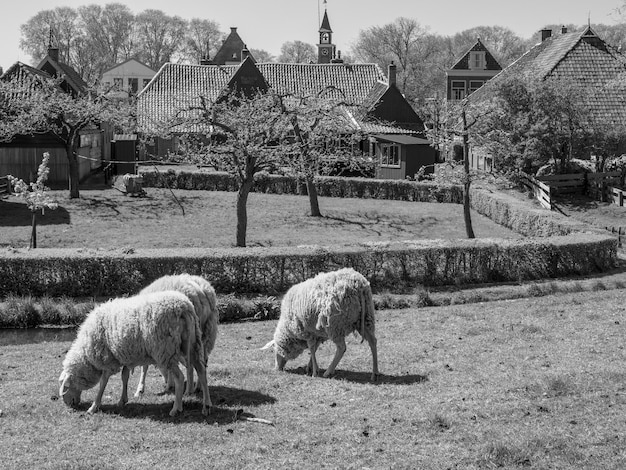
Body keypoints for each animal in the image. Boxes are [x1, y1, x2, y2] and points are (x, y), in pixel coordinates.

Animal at [59, 292, 210, 416]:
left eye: (65, 387)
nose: (69, 405)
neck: (86, 356)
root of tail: (183, 307)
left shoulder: (108, 359)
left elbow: (103, 383)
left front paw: (93, 407)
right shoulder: (125, 355)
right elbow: (124, 376)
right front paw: (122, 400)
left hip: (165, 351)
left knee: (180, 377)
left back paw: (176, 409)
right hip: (194, 344)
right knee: (202, 371)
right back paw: (206, 406)